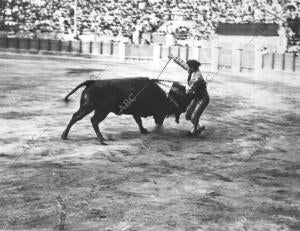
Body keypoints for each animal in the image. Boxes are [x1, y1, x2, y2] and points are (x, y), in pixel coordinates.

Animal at [61, 77, 190, 144]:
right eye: (165, 109)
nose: (159, 123)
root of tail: (93, 82)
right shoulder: (136, 111)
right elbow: (139, 121)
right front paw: (144, 130)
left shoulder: (135, 113)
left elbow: (139, 122)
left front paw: (144, 130)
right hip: (100, 110)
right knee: (93, 120)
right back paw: (101, 139)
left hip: (87, 107)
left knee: (75, 116)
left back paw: (64, 135)